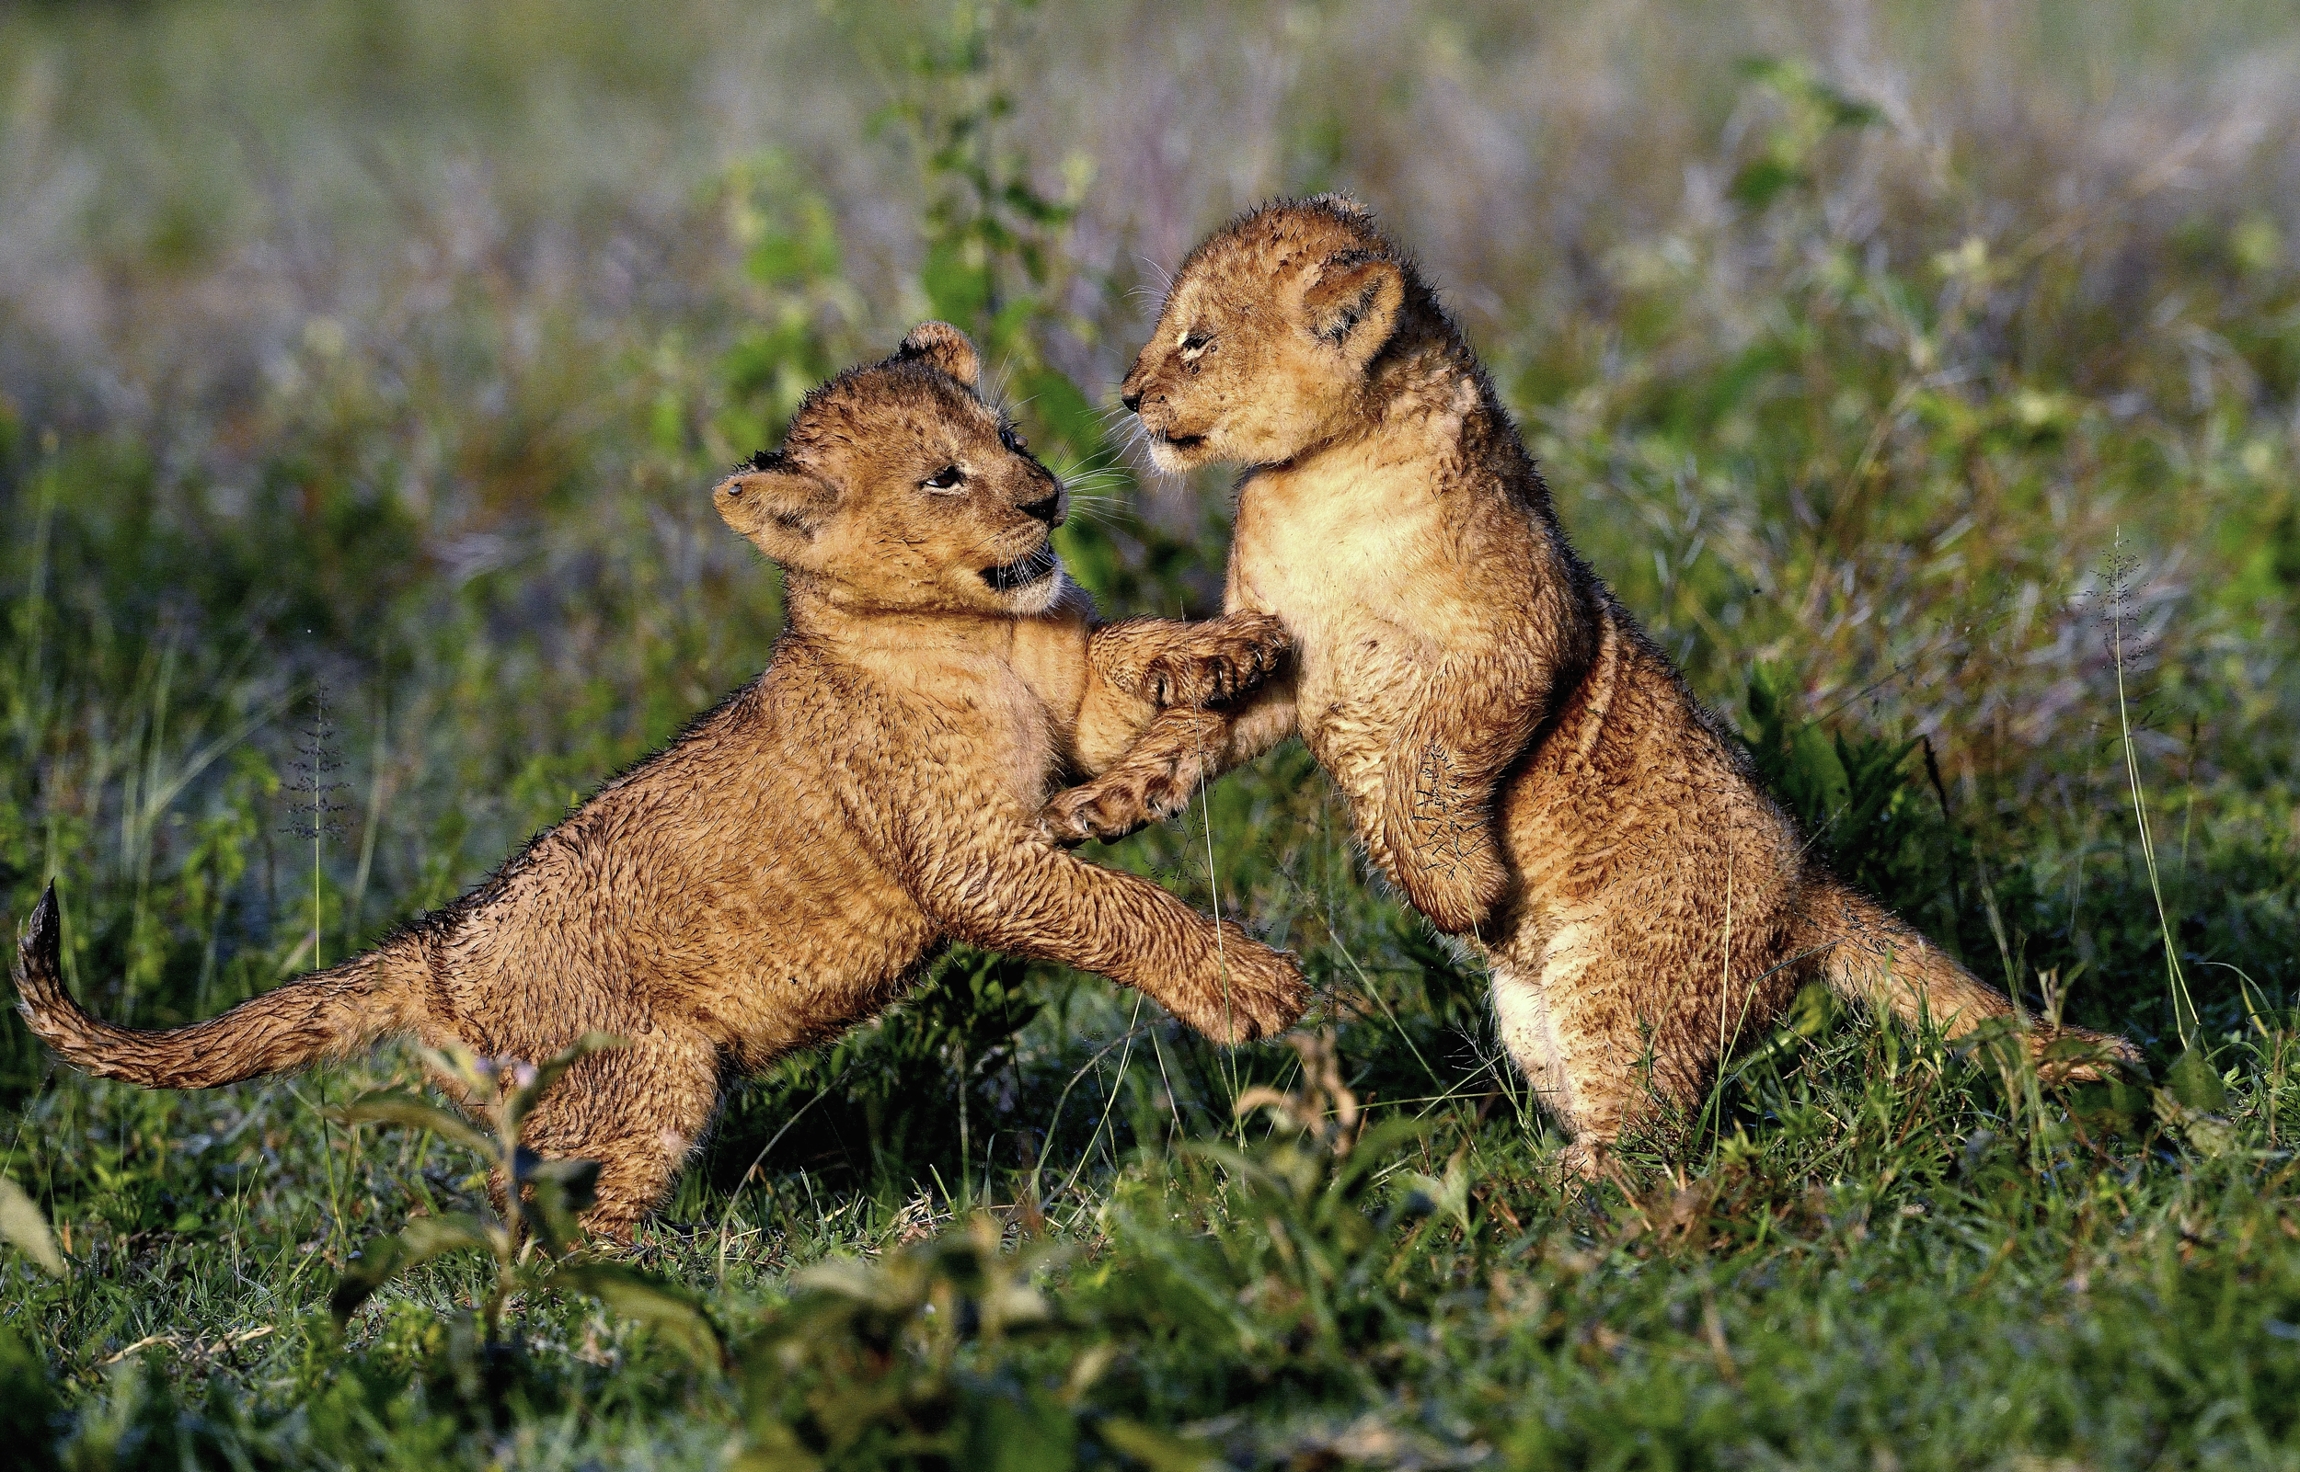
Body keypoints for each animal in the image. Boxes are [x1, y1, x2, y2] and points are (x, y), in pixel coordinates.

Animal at [14, 322, 1306, 1235]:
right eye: (943, 477)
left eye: (1010, 436)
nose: (1044, 498)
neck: (974, 629)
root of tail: (435, 949)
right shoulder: (968, 854)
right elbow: (1115, 906)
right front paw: (1247, 984)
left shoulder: (1072, 703)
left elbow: (1127, 658)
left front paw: (1228, 645)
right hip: (649, 1069)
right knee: (551, 1218)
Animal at [1047, 199, 2137, 1172]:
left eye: (1195, 340)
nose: (1127, 394)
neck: (1315, 477)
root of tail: (1810, 884)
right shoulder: (1278, 655)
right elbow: (1191, 727)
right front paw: (1100, 805)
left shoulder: (1517, 643)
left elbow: (1426, 764)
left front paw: (1454, 887)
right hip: (1537, 1018)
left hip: (1623, 982)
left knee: (1651, 1131)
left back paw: (1566, 1202)